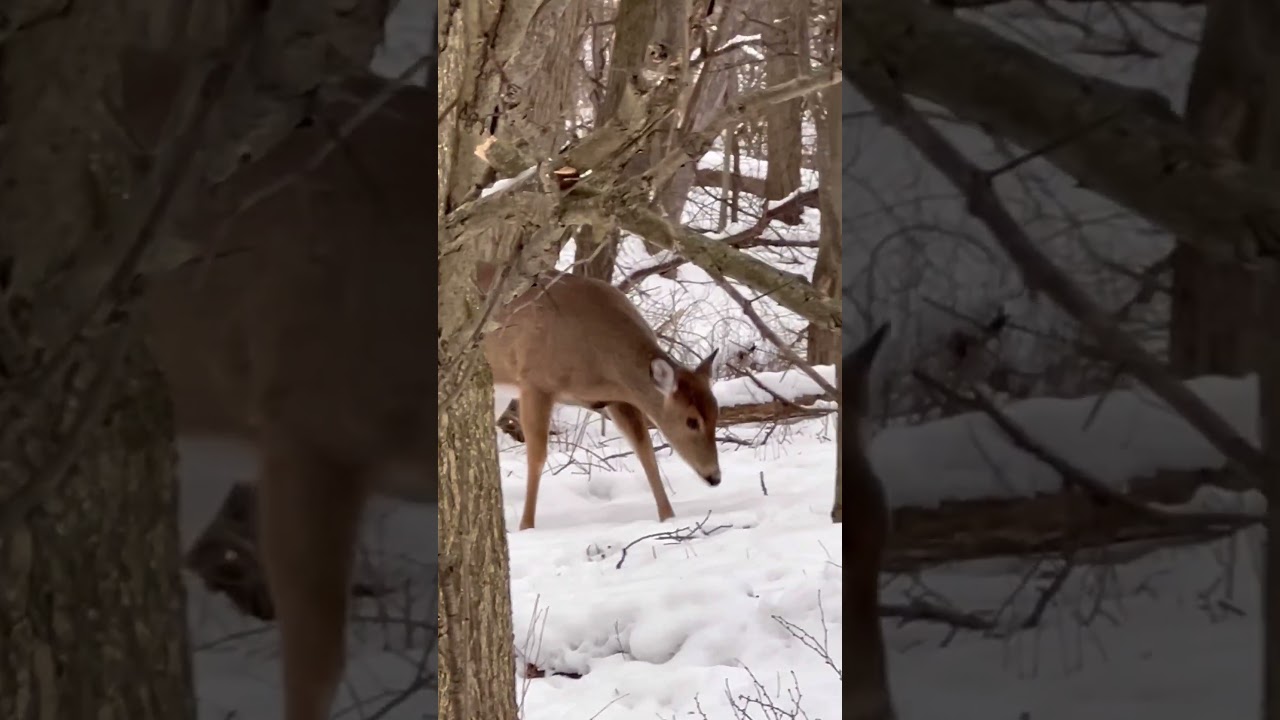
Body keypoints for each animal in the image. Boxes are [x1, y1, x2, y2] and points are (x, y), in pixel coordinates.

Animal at [475, 262, 723, 531]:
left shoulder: (619, 398)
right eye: (691, 421)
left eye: (716, 414)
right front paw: (526, 526)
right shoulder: (535, 381)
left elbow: (645, 451)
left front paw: (667, 516)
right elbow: (537, 457)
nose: (715, 477)